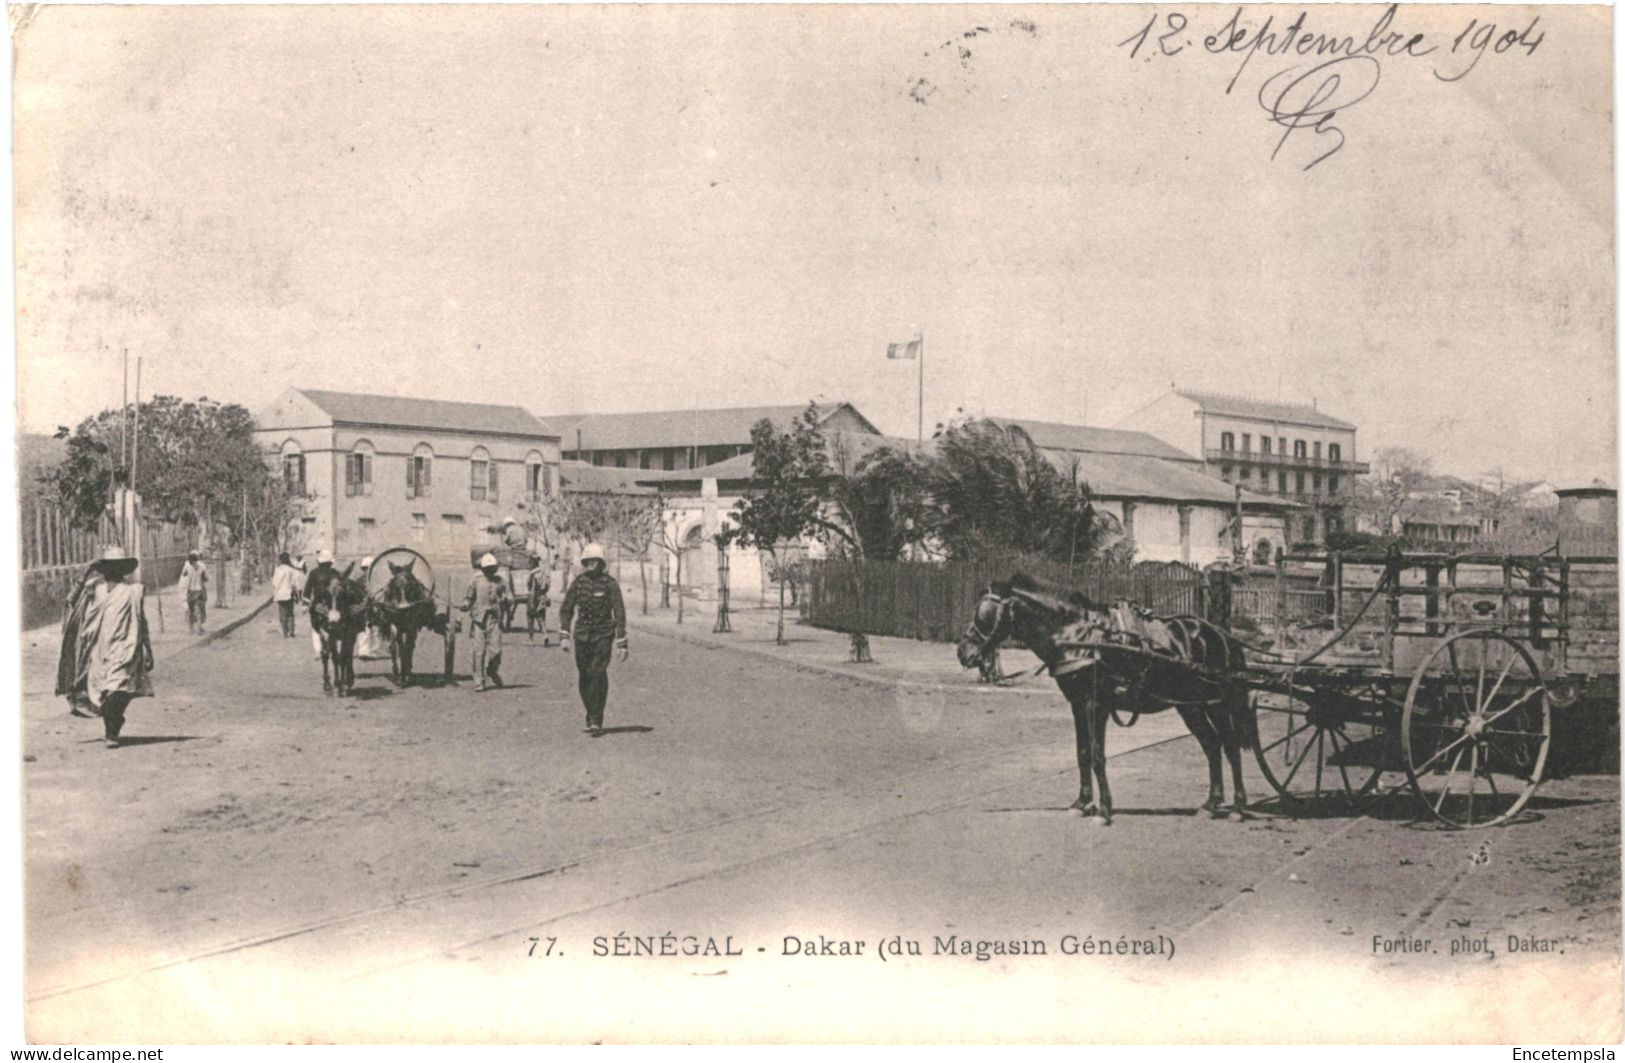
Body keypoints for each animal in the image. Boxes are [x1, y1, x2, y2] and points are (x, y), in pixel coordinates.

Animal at [308, 562, 370, 705]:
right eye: (326, 594)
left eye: (343, 594)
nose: (334, 620)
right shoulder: (324, 628)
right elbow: (328, 654)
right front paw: (328, 686)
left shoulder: (348, 632)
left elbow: (343, 657)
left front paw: (343, 686)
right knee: (336, 655)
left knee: (347, 654)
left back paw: (348, 680)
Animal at [949, 575, 1254, 825]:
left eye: (983, 614)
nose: (963, 652)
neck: (1077, 636)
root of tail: (1222, 634)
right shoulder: (1077, 704)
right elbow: (1082, 753)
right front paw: (1082, 803)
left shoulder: (1096, 705)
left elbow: (1098, 755)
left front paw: (1105, 809)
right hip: (1190, 706)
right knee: (1212, 744)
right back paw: (1211, 804)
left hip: (1217, 703)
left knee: (1230, 746)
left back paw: (1238, 807)